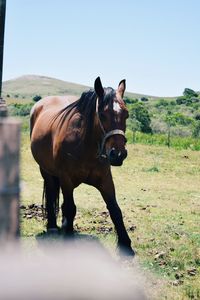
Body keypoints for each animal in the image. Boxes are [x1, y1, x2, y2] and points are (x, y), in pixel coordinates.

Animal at [30, 77, 134, 255]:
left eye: (126, 114)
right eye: (102, 114)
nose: (118, 154)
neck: (85, 146)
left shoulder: (105, 180)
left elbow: (115, 210)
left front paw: (126, 245)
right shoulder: (66, 179)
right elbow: (70, 208)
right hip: (46, 170)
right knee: (51, 193)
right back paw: (52, 226)